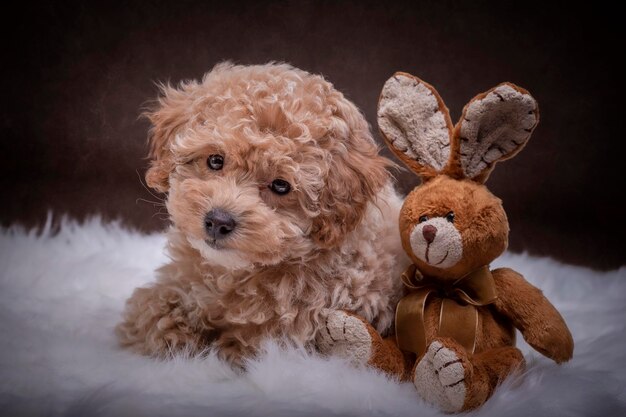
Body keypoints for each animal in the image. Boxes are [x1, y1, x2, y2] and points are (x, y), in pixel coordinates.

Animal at [117, 61, 410, 364]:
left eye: (280, 186)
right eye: (215, 160)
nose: (218, 221)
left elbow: (248, 344)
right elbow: (151, 310)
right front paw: (170, 331)